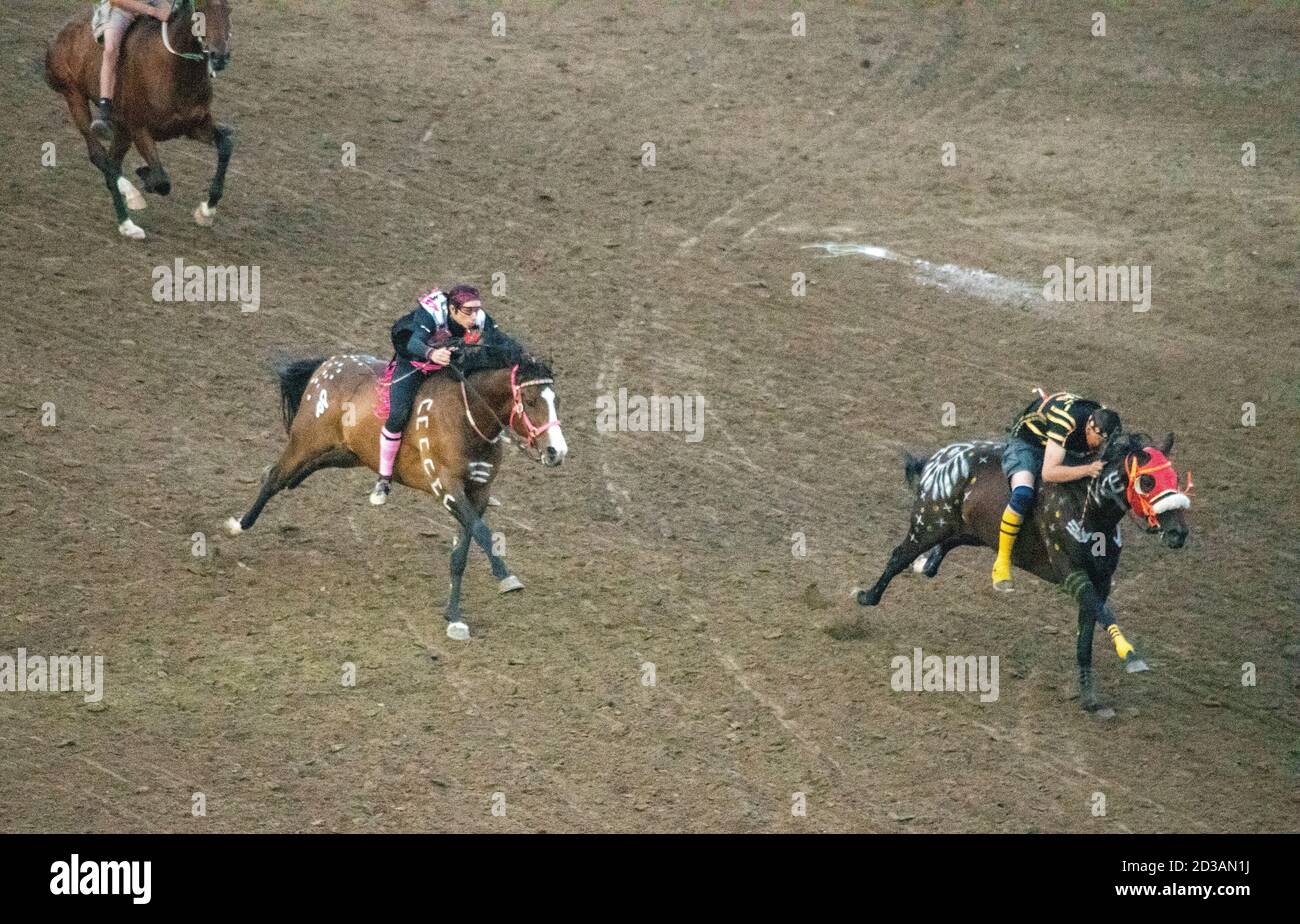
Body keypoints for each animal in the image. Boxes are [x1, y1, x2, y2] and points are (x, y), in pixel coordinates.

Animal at [45, 0, 236, 239]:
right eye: (200, 11)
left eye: (229, 9)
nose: (220, 57)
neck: (173, 69)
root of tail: (61, 34)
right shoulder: (140, 130)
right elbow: (162, 180)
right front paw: (145, 175)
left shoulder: (195, 125)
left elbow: (226, 145)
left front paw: (206, 211)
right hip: (75, 97)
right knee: (101, 158)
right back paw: (128, 222)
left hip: (121, 129)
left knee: (112, 162)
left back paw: (129, 200)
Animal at [224, 340, 569, 644]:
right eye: (532, 401)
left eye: (556, 401)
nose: (557, 451)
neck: (467, 416)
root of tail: (326, 365)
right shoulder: (447, 488)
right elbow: (483, 533)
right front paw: (505, 577)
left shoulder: (478, 494)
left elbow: (462, 551)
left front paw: (454, 617)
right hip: (305, 441)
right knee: (274, 477)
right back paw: (238, 524)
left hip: (348, 453)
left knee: (295, 474)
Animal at [857, 428, 1190, 712]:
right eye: (1147, 482)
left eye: (1174, 477)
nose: (1179, 533)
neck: (1087, 507)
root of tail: (937, 459)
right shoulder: (1072, 574)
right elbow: (1104, 613)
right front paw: (1132, 656)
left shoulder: (1101, 582)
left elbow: (1086, 637)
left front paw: (1090, 698)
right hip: (928, 524)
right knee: (898, 556)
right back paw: (867, 595)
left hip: (971, 530)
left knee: (945, 545)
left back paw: (927, 565)